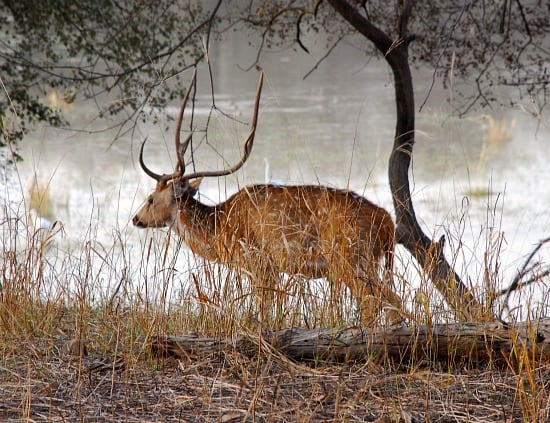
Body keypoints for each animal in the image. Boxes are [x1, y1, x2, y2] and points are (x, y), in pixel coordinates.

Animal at [132, 72, 404, 324]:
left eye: (151, 198)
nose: (135, 218)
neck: (221, 229)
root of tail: (388, 223)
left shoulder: (259, 263)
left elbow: (264, 310)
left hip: (350, 258)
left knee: (374, 302)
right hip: (369, 262)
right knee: (393, 301)